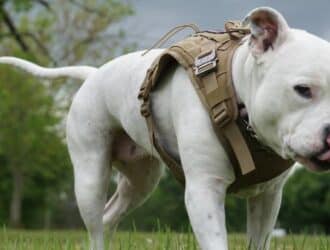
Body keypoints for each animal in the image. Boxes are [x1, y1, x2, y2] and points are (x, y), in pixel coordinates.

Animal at [1, 6, 330, 250]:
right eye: (303, 90)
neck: (236, 93)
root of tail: (93, 74)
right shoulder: (204, 191)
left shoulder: (268, 198)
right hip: (90, 176)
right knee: (96, 223)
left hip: (140, 180)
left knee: (109, 216)